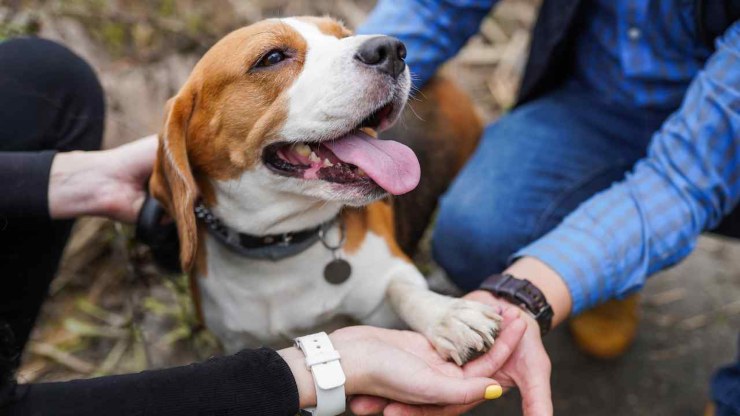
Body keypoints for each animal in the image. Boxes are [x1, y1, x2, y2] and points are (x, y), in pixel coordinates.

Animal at [148, 16, 500, 364]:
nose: (391, 50)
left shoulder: (390, 275)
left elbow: (404, 290)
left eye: (343, 35)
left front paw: (448, 315)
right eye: (272, 57)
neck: (280, 247)